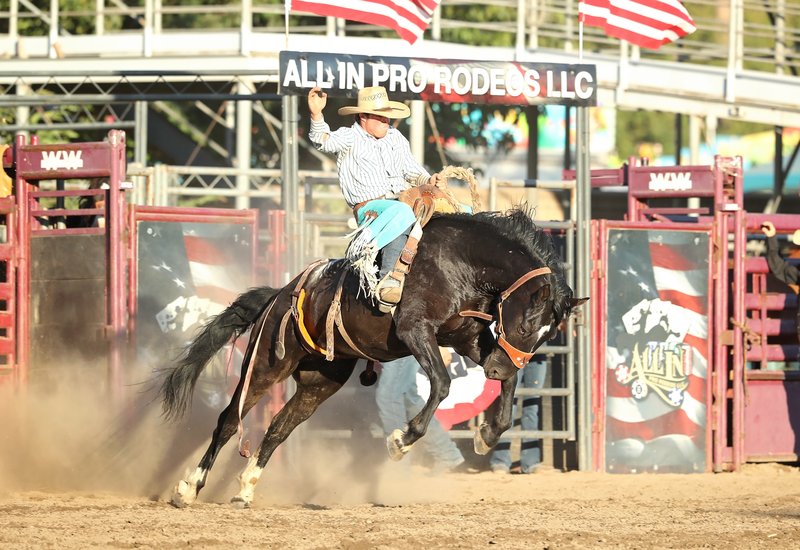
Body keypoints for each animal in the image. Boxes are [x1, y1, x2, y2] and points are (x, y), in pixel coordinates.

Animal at [161, 207, 588, 508]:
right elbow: (442, 383)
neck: (460, 262)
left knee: (279, 427)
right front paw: (402, 440)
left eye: (550, 333)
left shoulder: (467, 337)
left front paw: (486, 435)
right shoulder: (416, 330)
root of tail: (278, 295)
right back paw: (188, 488)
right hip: (268, 363)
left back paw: (246, 489)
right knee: (229, 420)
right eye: (530, 322)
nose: (497, 368)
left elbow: (507, 385)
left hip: (320, 382)